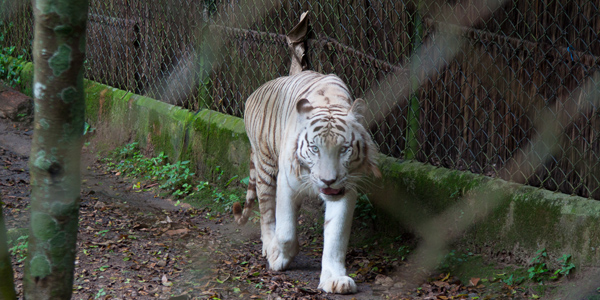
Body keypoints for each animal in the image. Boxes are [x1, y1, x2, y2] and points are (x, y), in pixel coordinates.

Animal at [233, 69, 380, 292]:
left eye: (344, 149)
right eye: (315, 148)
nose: (328, 180)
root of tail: (256, 91)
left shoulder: (346, 188)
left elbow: (336, 236)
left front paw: (335, 279)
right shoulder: (287, 183)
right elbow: (286, 231)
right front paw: (279, 257)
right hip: (265, 165)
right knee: (266, 211)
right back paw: (268, 245)